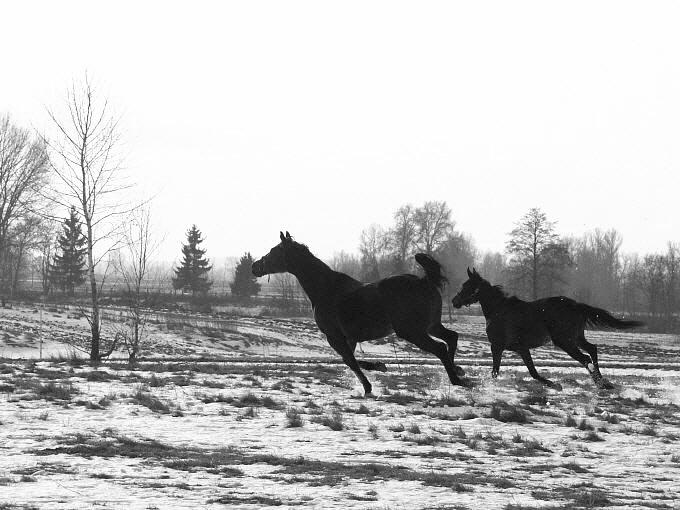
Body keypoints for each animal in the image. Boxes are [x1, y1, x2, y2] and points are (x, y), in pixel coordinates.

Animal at [250, 231, 468, 394]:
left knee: (440, 348)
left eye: (274, 251)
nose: (254, 266)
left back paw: (457, 379)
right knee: (451, 338)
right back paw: (458, 370)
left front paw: (368, 386)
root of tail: (424, 281)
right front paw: (378, 367)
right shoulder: (349, 337)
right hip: (431, 326)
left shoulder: (334, 336)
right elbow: (351, 360)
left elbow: (349, 361)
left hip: (412, 331)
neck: (326, 289)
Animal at [452, 266, 644, 390]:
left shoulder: (498, 347)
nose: (454, 301)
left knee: (585, 359)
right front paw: (553, 384)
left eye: (466, 286)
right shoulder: (521, 349)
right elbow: (531, 371)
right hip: (576, 337)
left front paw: (555, 385)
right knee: (592, 350)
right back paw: (603, 383)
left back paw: (600, 384)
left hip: (565, 341)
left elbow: (502, 372)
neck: (498, 310)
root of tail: (576, 305)